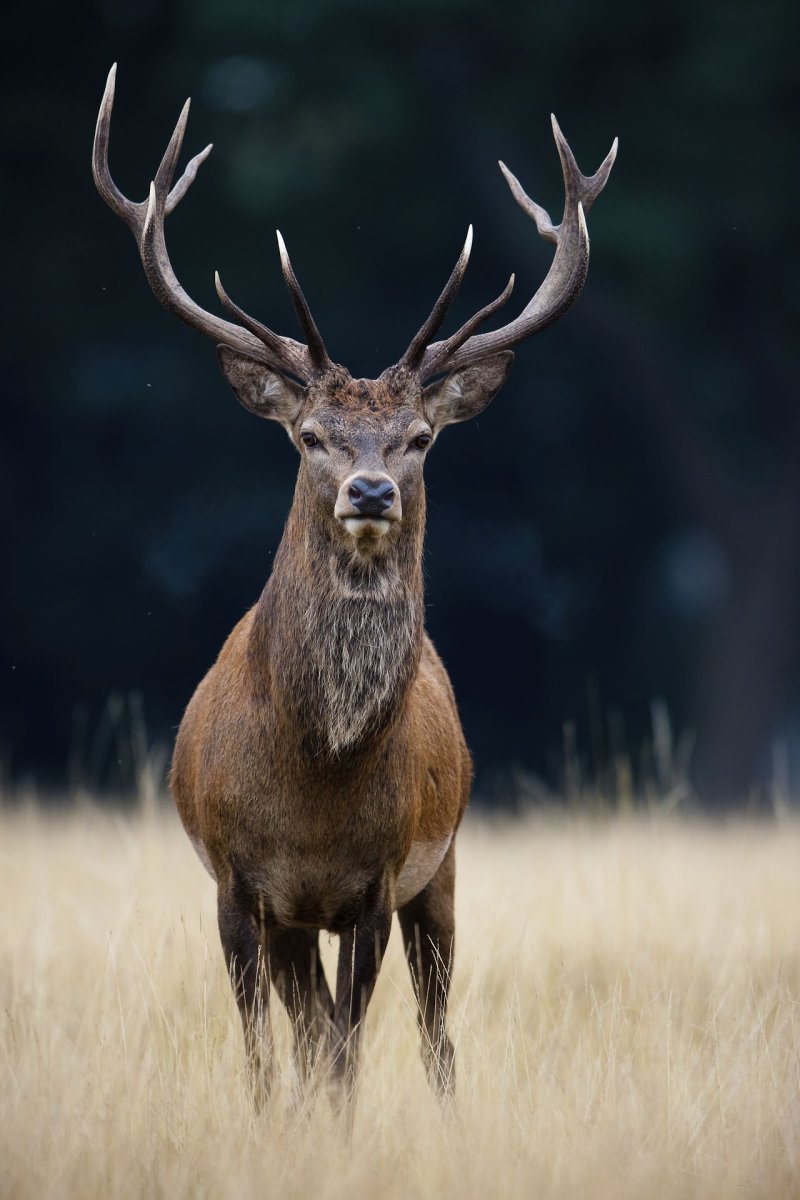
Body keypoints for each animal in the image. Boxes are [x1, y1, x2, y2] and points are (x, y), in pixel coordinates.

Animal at [93, 64, 616, 1107]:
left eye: (419, 438)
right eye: (309, 436)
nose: (370, 490)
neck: (315, 783)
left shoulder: (377, 883)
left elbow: (346, 1051)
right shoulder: (239, 886)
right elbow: (269, 1054)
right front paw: (271, 1123)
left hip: (443, 871)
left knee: (434, 1031)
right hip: (304, 919)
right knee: (307, 1028)